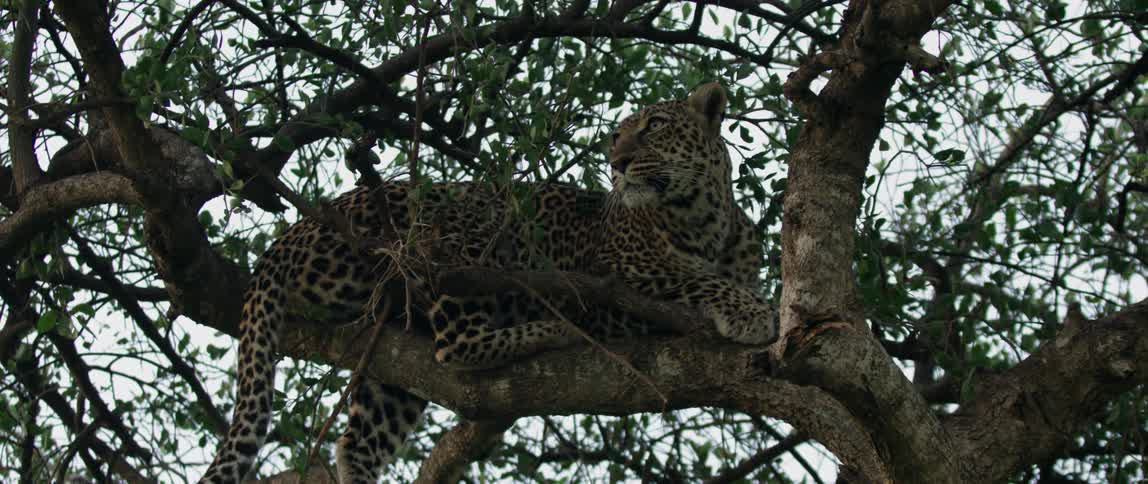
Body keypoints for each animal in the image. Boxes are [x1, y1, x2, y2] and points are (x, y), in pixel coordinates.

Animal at [199, 82, 779, 484]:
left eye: (655, 125)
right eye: (617, 136)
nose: (617, 162)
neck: (703, 218)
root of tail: (288, 234)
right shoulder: (616, 283)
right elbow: (690, 279)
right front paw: (754, 312)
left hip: (393, 348)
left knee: (360, 437)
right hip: (458, 234)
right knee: (456, 344)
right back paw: (555, 331)